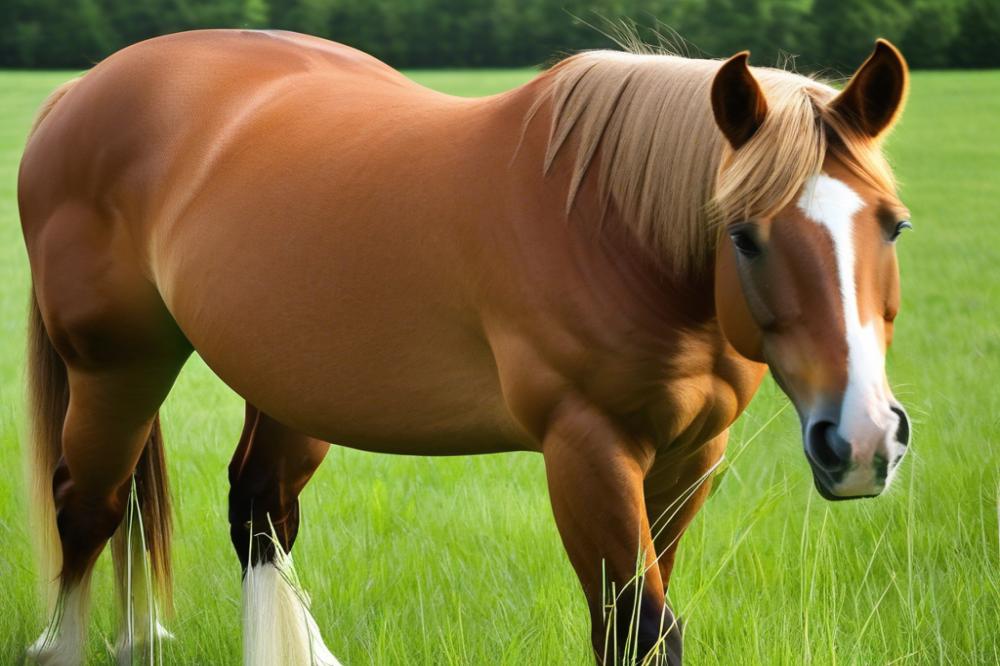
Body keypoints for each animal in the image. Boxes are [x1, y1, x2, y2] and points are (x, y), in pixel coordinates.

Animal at [19, 28, 916, 660]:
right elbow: (639, 629)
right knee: (89, 507)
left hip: (284, 384)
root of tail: (78, 90)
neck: (615, 226)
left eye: (893, 225)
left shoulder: (690, 456)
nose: (864, 440)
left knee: (257, 510)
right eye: (743, 234)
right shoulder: (587, 451)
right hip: (117, 366)